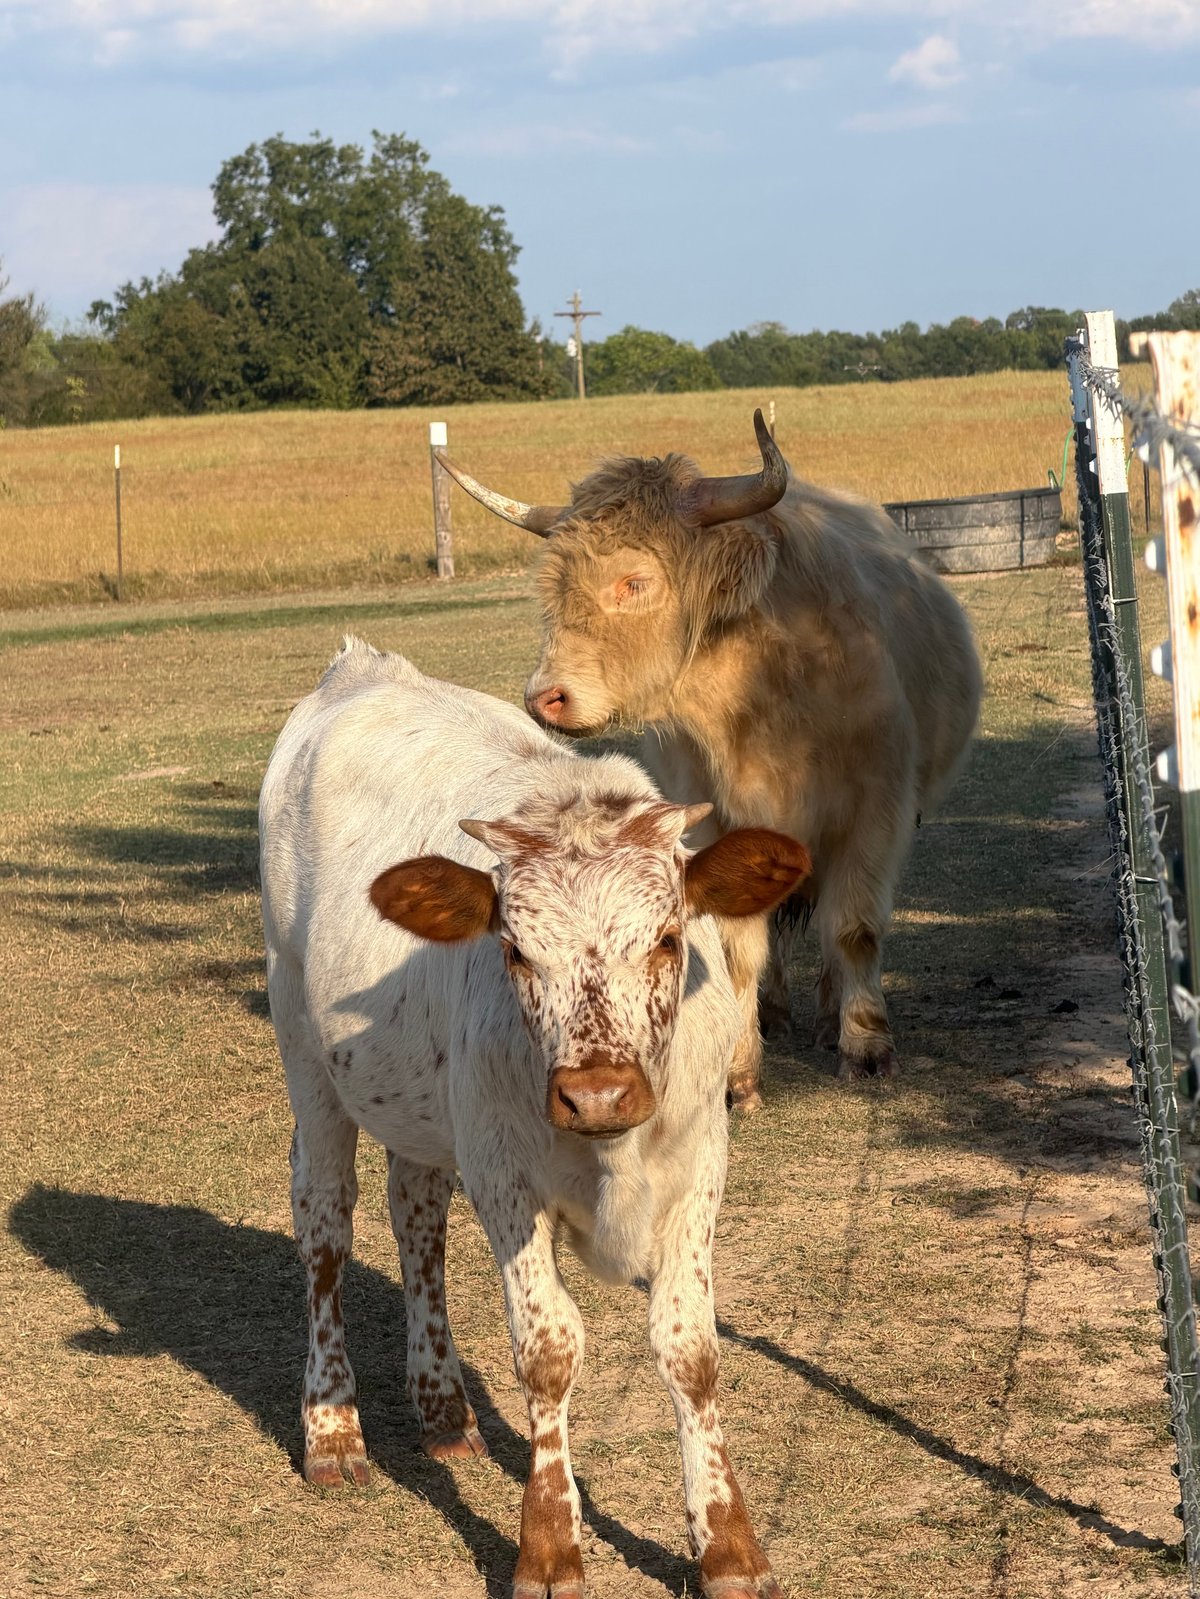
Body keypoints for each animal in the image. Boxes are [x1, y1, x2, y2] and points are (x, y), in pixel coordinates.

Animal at [259, 639, 810, 1599]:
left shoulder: (700, 1162)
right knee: (325, 1226)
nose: (597, 1094)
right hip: (305, 1048)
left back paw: (443, 1408)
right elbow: (548, 1349)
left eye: (668, 938)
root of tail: (360, 666)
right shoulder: (504, 1171)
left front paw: (729, 1545)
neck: (614, 1153)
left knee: (417, 1217)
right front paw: (549, 1544)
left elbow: (691, 1346)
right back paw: (333, 1427)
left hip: (422, 1100)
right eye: (514, 949)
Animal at [435, 412, 982, 1105]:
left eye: (634, 581)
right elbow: (737, 948)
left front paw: (864, 1045)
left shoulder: (876, 811)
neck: (766, 689)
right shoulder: (715, 821)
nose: (544, 697)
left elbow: (854, 928)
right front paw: (739, 1071)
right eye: (554, 588)